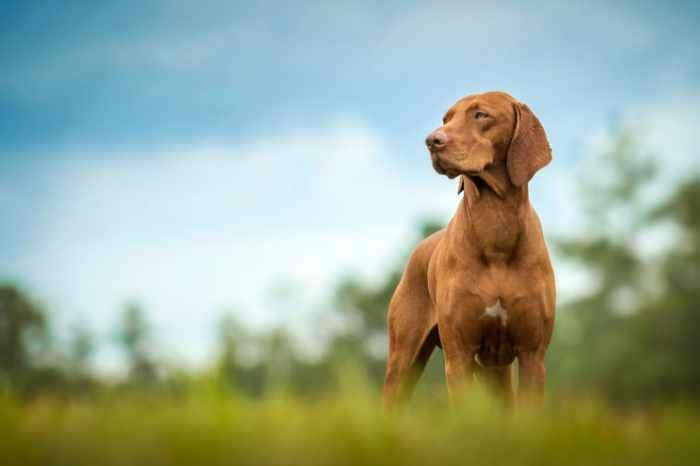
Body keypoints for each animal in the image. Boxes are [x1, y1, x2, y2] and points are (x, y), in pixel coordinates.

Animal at [386, 91, 556, 408]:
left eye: (480, 115)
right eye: (446, 118)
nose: (432, 140)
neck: (495, 228)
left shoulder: (532, 355)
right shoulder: (459, 357)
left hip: (497, 369)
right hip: (404, 358)